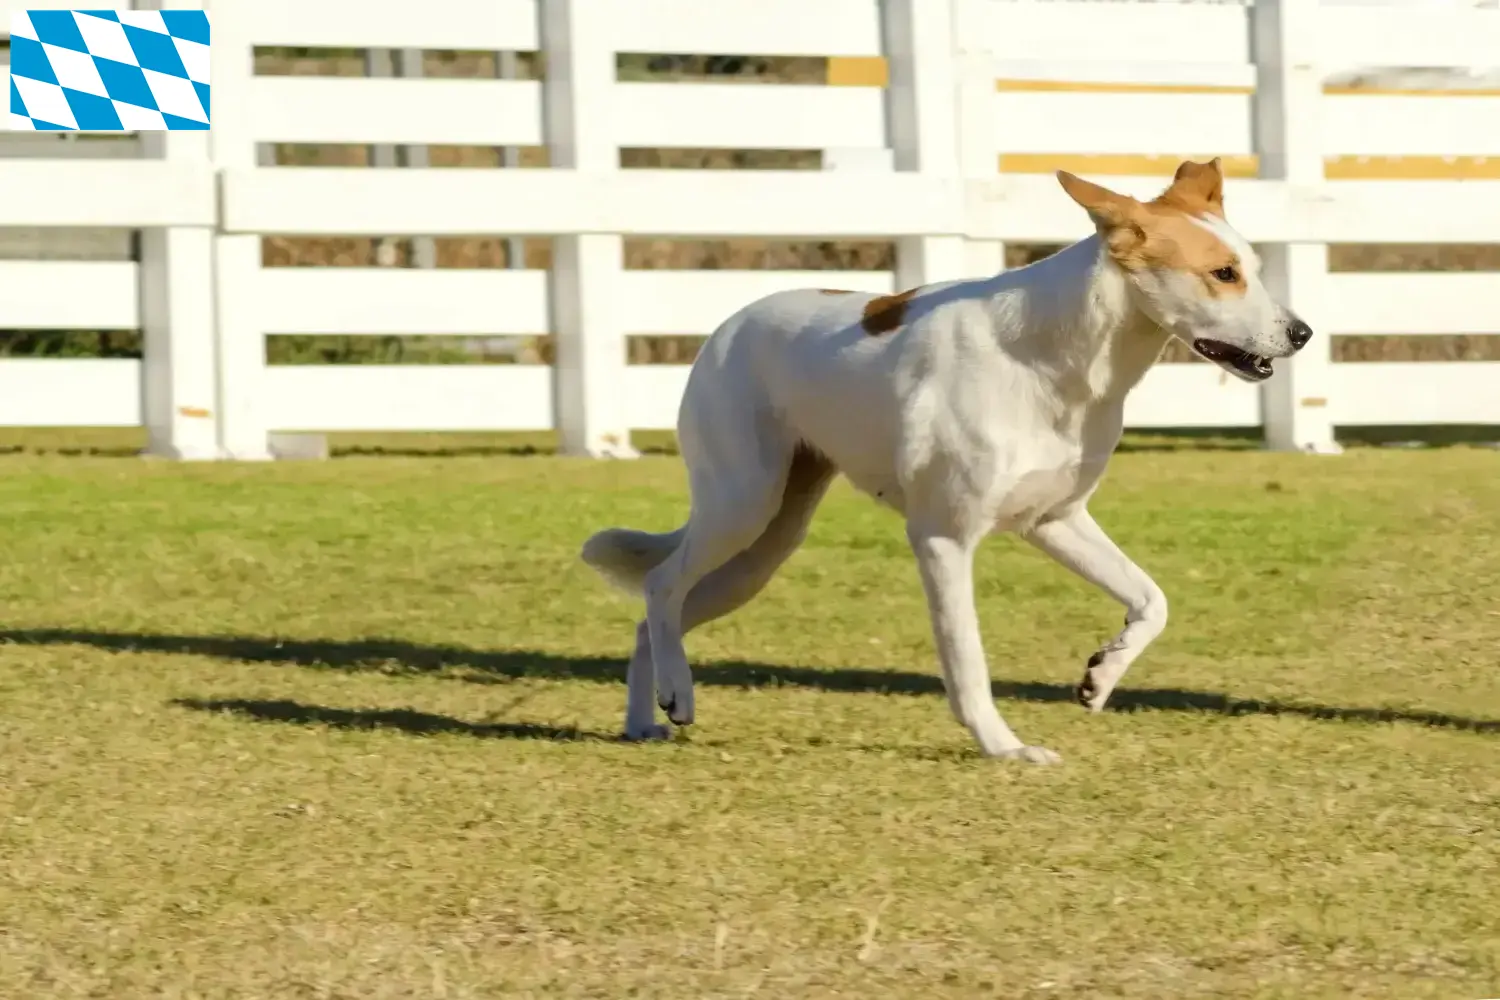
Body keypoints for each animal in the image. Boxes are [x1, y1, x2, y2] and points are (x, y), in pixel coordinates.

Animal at [585, 160, 1314, 761]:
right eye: (1223, 274)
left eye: (1253, 267)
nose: (1302, 333)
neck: (1055, 355)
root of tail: (726, 327)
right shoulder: (942, 539)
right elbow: (968, 661)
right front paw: (1005, 748)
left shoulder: (1055, 520)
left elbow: (1151, 599)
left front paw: (1100, 676)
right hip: (742, 505)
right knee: (662, 585)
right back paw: (676, 694)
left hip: (764, 549)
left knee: (655, 612)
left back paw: (648, 717)